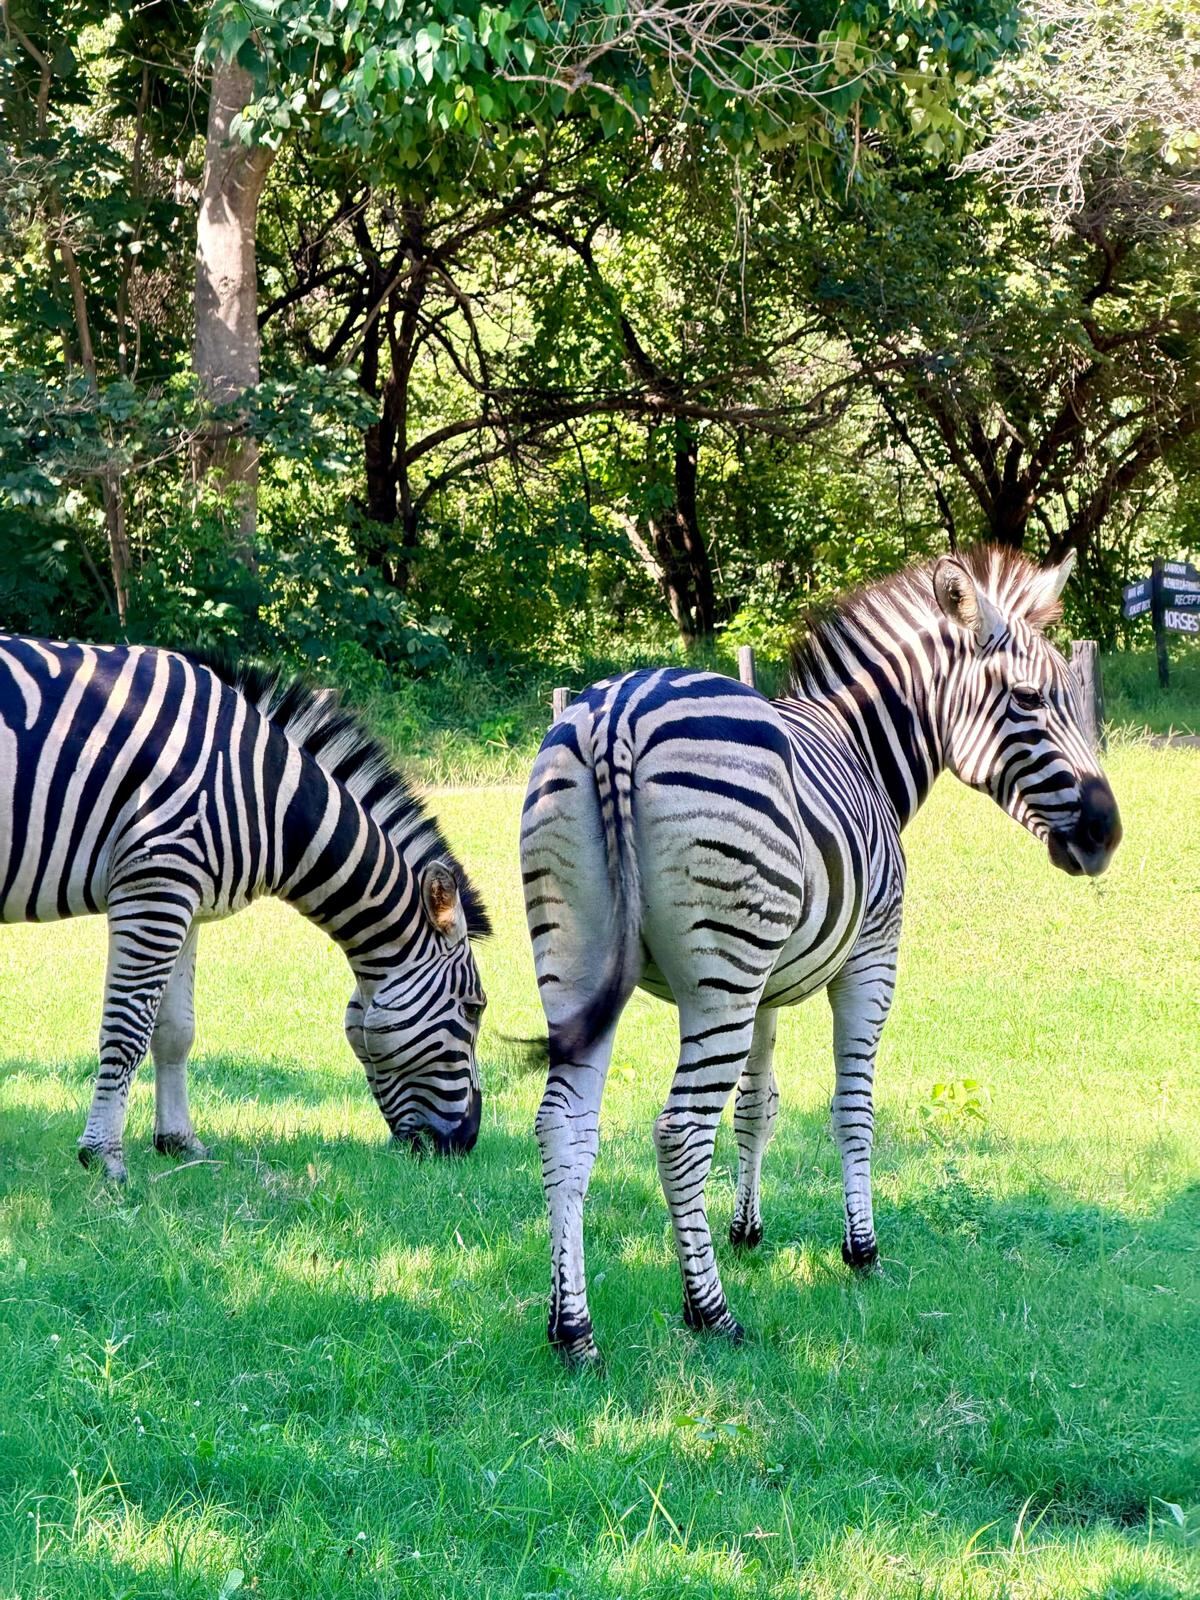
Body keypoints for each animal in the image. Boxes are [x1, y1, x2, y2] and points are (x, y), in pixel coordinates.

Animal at [0, 635, 490, 1181]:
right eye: (474, 1008)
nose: (466, 1143)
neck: (267, 795)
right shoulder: (155, 883)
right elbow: (126, 1030)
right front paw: (103, 1156)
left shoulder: (185, 901)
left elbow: (174, 1031)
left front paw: (179, 1142)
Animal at [520, 546, 1122, 1363]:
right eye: (1029, 698)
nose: (1107, 833)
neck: (863, 749)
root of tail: (618, 711)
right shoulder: (871, 956)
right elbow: (853, 1109)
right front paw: (861, 1250)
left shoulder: (767, 990)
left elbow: (756, 1107)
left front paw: (746, 1230)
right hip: (719, 979)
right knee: (678, 1132)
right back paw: (710, 1314)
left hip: (585, 968)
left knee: (566, 1129)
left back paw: (573, 1330)